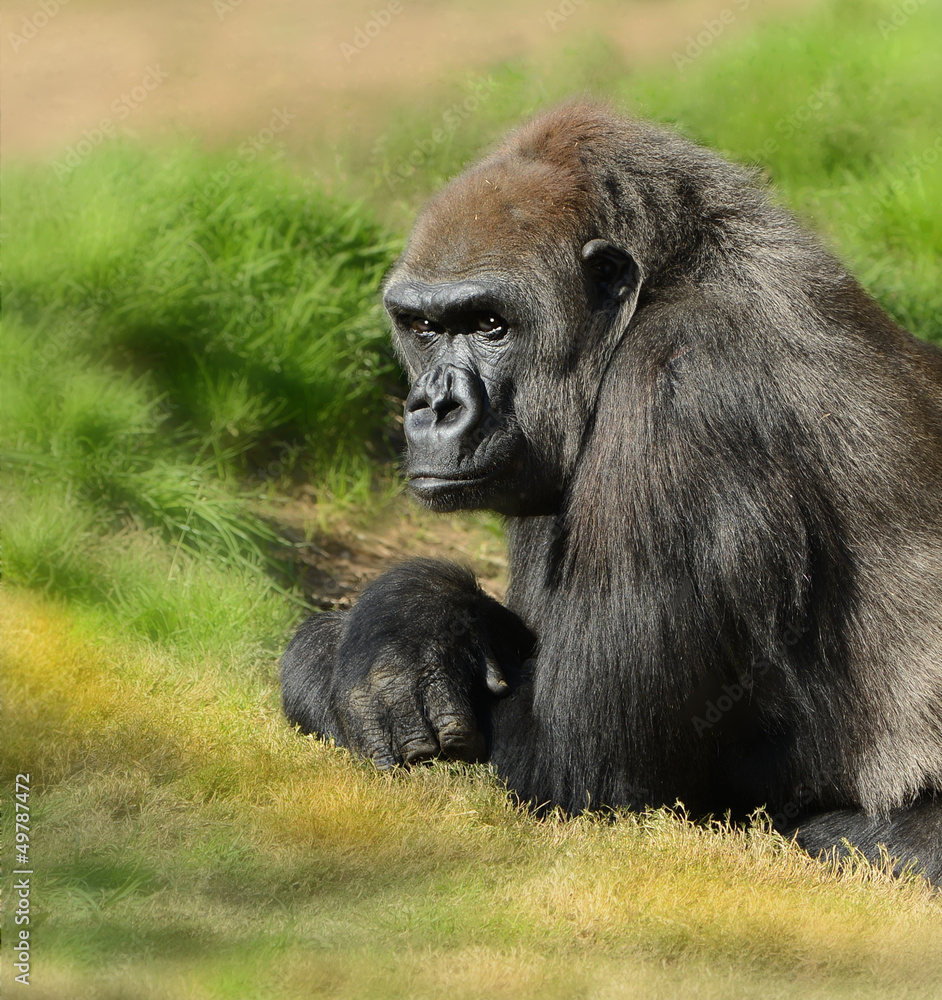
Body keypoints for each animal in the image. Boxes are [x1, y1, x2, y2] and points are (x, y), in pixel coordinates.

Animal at [282, 101, 942, 884]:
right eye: (423, 326)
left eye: (491, 324)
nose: (431, 408)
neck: (666, 282)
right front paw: (419, 629)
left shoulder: (677, 396)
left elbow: (567, 764)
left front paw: (380, 631)